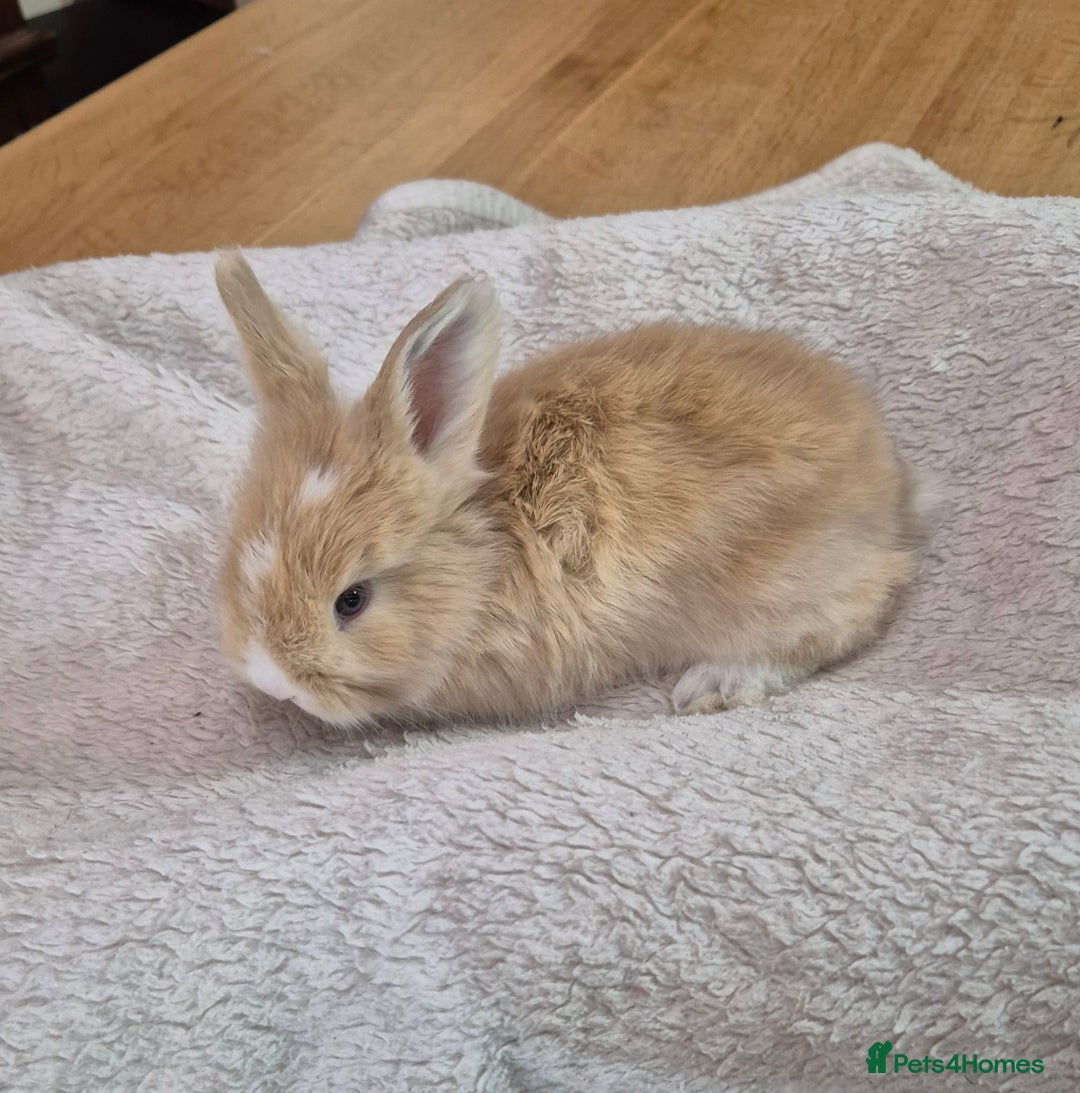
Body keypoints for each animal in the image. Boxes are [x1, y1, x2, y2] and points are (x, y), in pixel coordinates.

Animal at [215, 252, 922, 728]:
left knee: (850, 617)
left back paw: (712, 685)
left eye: (352, 600)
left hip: (774, 586)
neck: (485, 558)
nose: (273, 683)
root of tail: (889, 484)